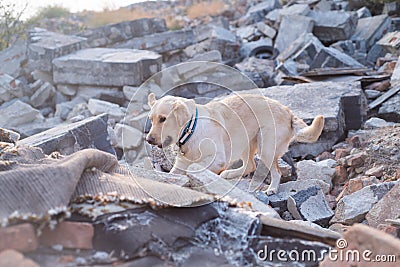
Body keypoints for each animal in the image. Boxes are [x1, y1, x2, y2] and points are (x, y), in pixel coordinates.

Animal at [145, 93, 324, 196]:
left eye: (163, 119)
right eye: (151, 119)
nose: (148, 140)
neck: (191, 129)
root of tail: (288, 111)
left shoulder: (218, 159)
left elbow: (194, 168)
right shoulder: (179, 165)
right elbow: (172, 175)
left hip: (265, 147)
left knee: (276, 172)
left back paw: (272, 188)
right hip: (244, 143)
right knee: (251, 165)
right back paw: (229, 174)